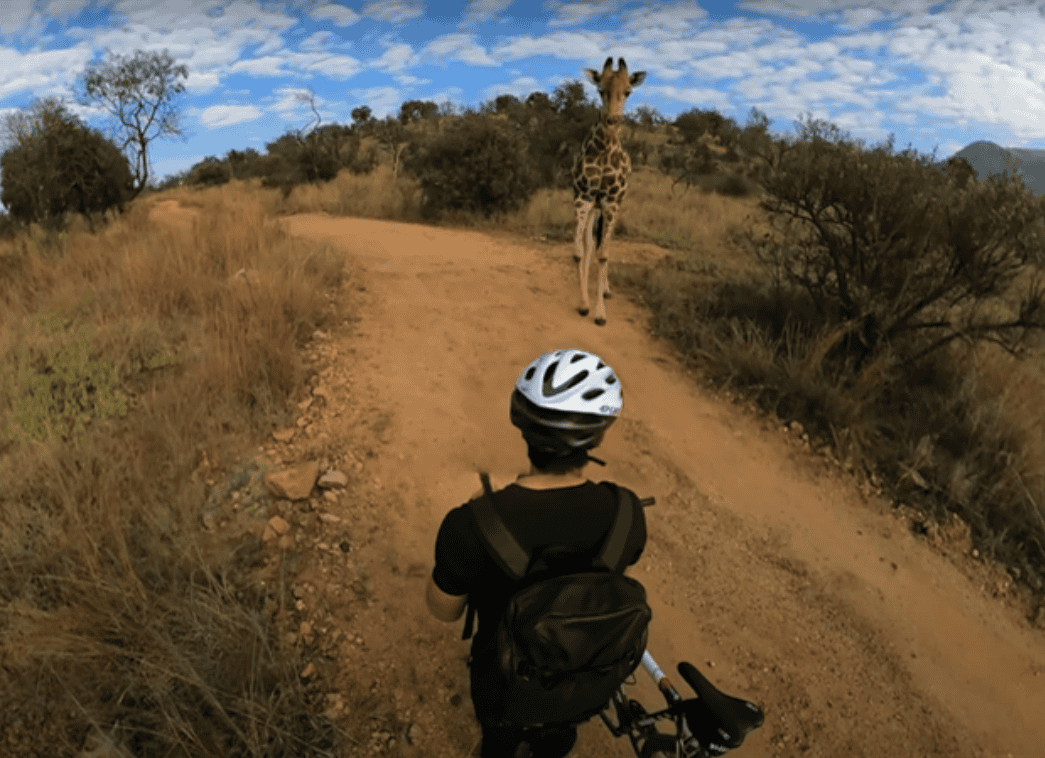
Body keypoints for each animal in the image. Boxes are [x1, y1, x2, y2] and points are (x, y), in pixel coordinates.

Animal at [572, 57, 646, 326]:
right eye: (599, 90)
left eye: (628, 91)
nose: (612, 121)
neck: (604, 150)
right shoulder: (583, 198)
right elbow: (580, 251)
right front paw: (584, 304)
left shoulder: (612, 202)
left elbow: (603, 254)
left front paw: (600, 314)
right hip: (595, 206)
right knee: (590, 243)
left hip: (613, 205)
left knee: (607, 243)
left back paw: (605, 290)